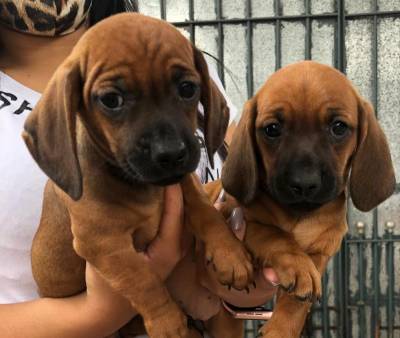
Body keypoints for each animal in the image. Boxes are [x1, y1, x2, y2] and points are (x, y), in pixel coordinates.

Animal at [21, 13, 252, 338]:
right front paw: (167, 321)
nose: (170, 153)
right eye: (111, 100)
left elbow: (206, 211)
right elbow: (143, 280)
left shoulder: (185, 182)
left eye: (187, 88)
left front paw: (230, 253)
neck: (143, 186)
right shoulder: (104, 243)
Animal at [208, 61, 396, 338]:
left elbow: (297, 301)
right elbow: (274, 235)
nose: (304, 182)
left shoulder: (322, 251)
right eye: (272, 129)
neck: (299, 215)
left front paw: (281, 328)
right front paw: (295, 263)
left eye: (338, 127)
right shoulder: (237, 217)